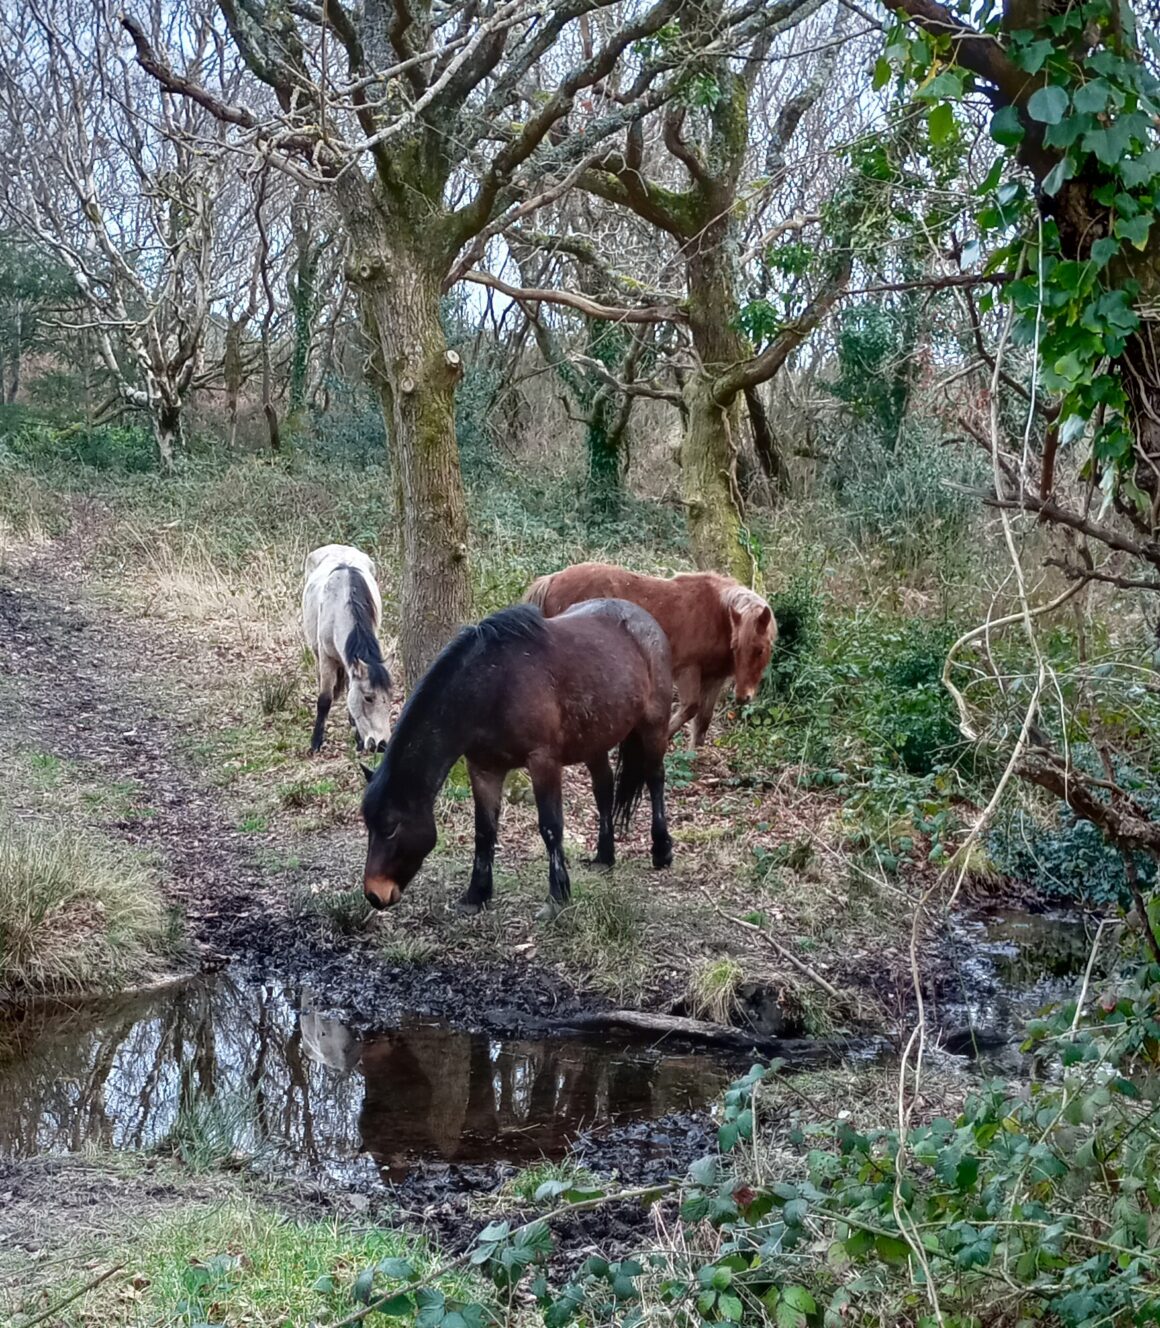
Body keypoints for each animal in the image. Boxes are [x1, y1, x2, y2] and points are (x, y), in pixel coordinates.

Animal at [298, 547, 393, 759]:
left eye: (389, 698)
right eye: (368, 697)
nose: (382, 745)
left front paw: (358, 740)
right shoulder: (326, 658)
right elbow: (324, 700)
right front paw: (315, 743)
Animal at [358, 600, 669, 918]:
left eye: (392, 827)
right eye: (368, 824)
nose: (374, 894)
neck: (494, 685)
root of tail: (642, 617)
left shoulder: (543, 762)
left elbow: (550, 827)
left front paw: (557, 896)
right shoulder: (483, 769)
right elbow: (484, 831)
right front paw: (477, 893)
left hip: (653, 726)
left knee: (655, 778)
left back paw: (661, 851)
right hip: (595, 740)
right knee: (604, 789)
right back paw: (604, 857)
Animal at [526, 560, 775, 748]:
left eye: (760, 649)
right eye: (738, 647)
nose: (743, 697)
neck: (718, 613)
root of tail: (553, 578)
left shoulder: (714, 678)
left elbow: (703, 719)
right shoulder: (688, 670)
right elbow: (689, 708)